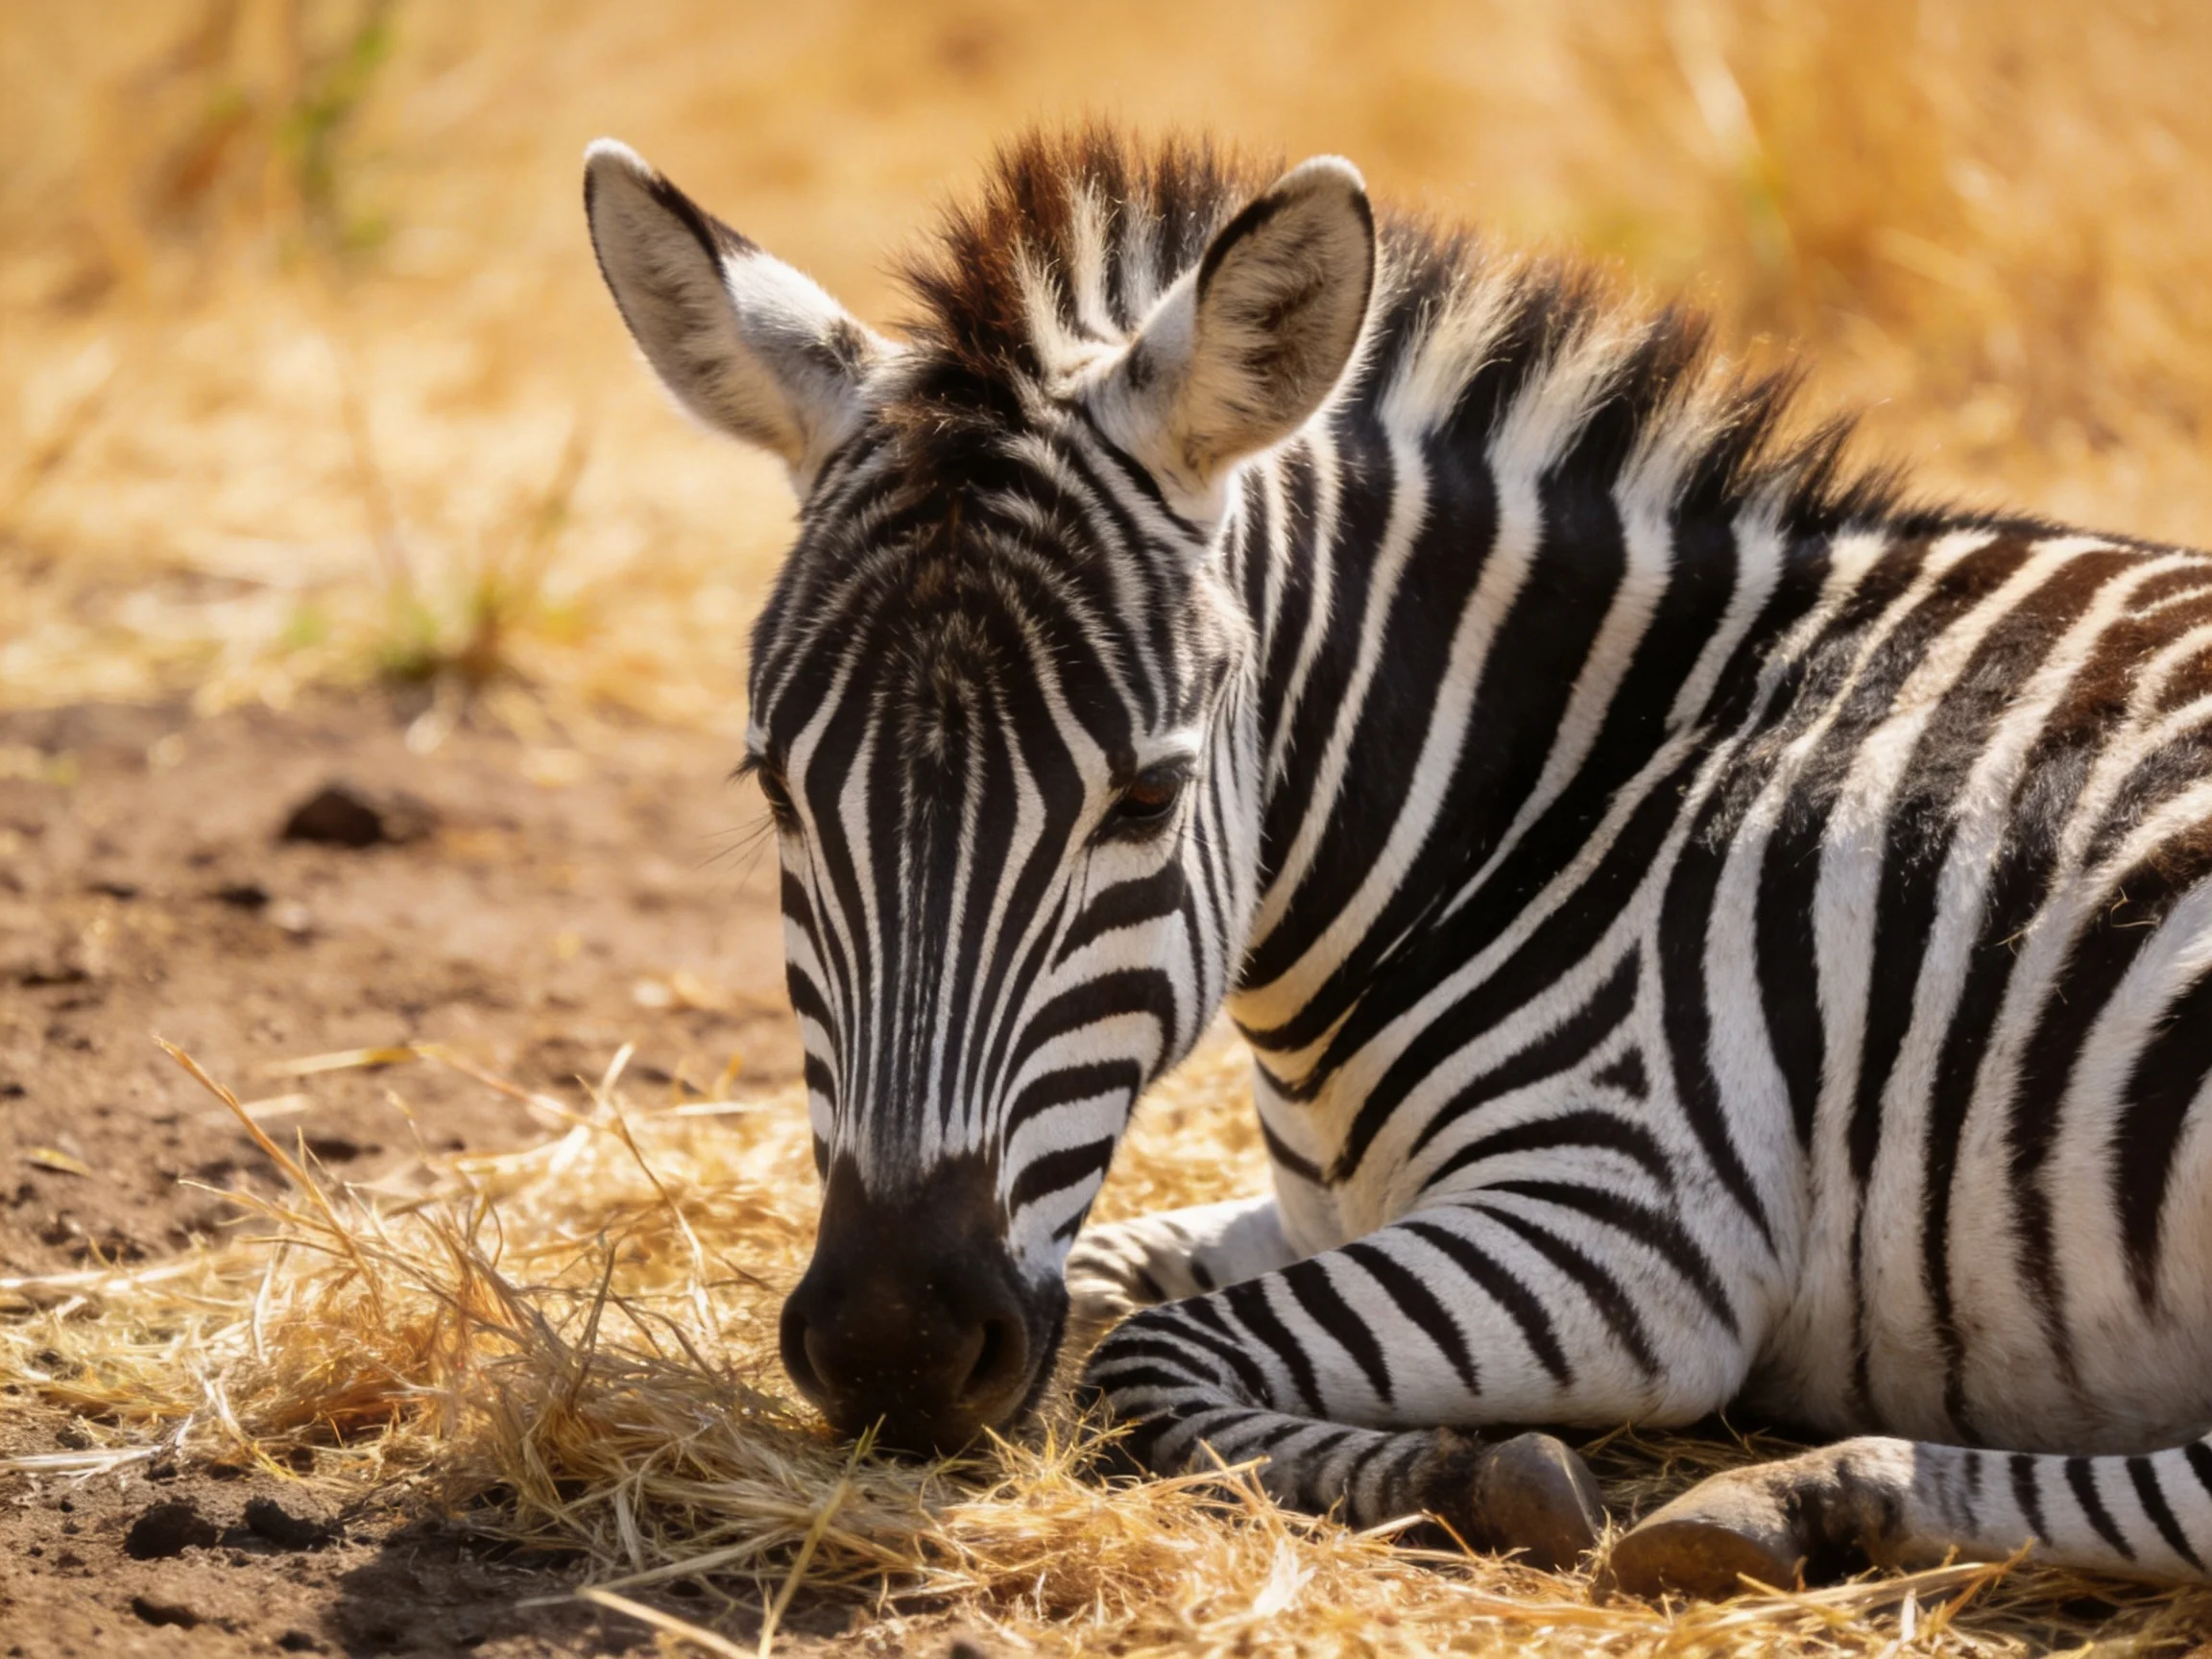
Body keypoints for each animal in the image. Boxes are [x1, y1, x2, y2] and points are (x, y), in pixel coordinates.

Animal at [584, 127, 2212, 1594]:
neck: (1558, 792)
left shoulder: (1628, 1222)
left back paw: (1796, 1498)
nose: (894, 1348)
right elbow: (1109, 1286)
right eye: (778, 789)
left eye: (1148, 796)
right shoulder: (1314, 1206)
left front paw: (1476, 1477)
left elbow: (1139, 1362)